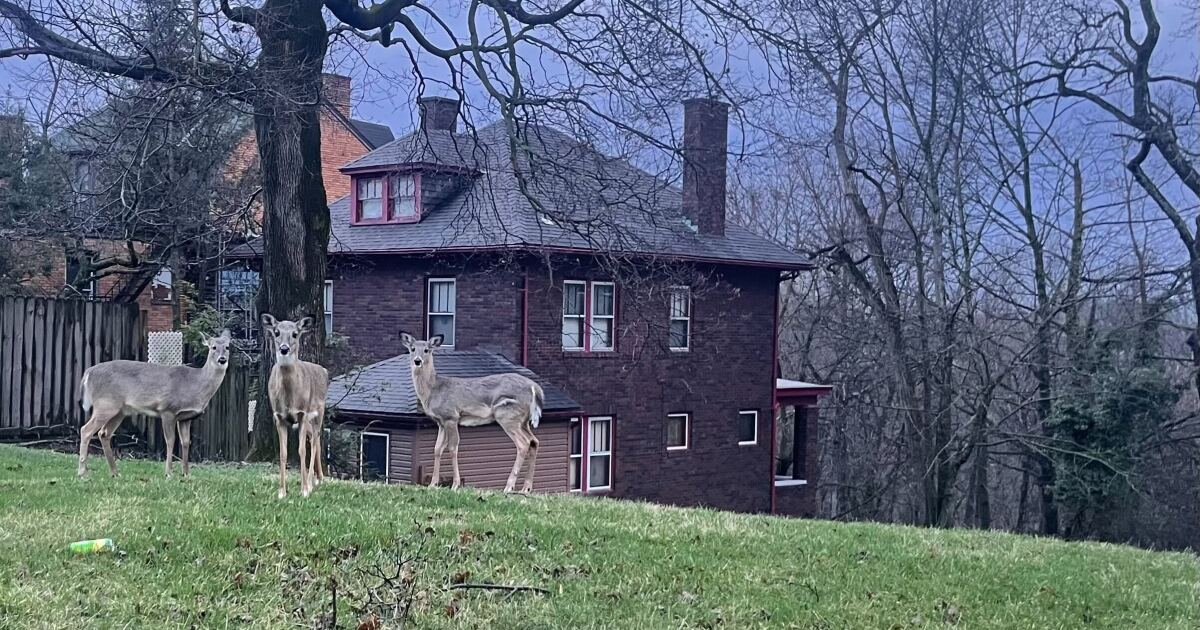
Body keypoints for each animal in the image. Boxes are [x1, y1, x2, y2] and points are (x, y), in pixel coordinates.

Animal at [77, 330, 232, 478]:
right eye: (213, 347)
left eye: (227, 347)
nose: (222, 359)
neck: (196, 384)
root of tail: (88, 373)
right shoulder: (168, 410)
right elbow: (170, 440)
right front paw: (169, 473)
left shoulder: (186, 417)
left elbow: (185, 442)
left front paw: (186, 474)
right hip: (105, 404)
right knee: (86, 430)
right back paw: (82, 472)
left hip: (119, 411)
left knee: (104, 433)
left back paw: (115, 472)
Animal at [261, 314, 329, 499]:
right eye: (276, 332)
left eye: (295, 333)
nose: (284, 348)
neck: (289, 398)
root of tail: (324, 370)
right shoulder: (279, 417)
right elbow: (283, 453)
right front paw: (282, 492)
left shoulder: (302, 413)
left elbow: (301, 450)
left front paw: (304, 490)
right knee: (314, 439)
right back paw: (317, 478)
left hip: (319, 412)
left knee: (315, 441)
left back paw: (313, 481)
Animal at [399, 331, 544, 493]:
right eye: (412, 349)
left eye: (427, 350)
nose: (417, 361)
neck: (433, 389)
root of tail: (535, 388)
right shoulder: (441, 422)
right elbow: (437, 449)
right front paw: (432, 484)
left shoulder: (451, 416)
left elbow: (452, 448)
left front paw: (455, 484)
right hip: (523, 421)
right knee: (534, 441)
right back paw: (526, 488)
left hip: (507, 415)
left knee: (523, 443)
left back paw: (509, 486)